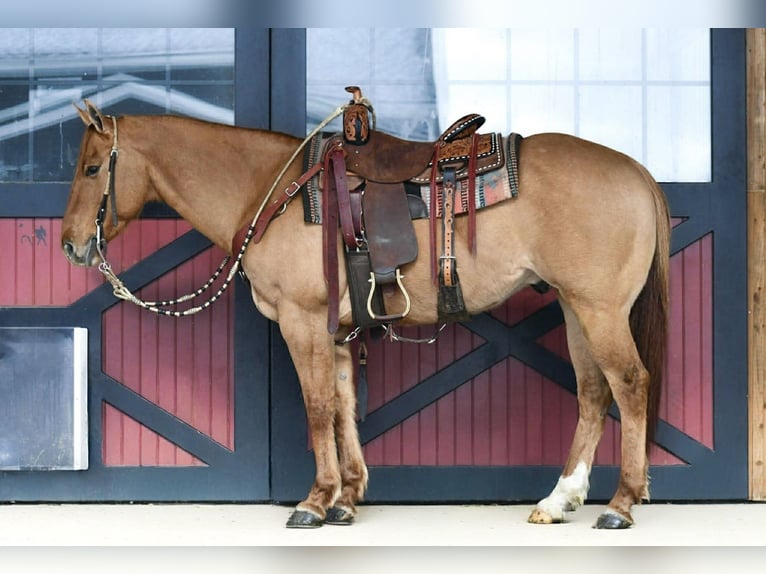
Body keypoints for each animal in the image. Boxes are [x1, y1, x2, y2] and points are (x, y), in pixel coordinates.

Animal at [61, 99, 670, 530]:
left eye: (91, 168)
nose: (70, 245)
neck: (270, 192)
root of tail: (637, 170)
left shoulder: (301, 320)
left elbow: (316, 407)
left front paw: (314, 501)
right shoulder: (332, 329)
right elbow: (342, 406)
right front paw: (347, 497)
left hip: (600, 311)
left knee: (630, 384)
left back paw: (619, 504)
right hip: (574, 308)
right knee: (592, 392)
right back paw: (559, 499)